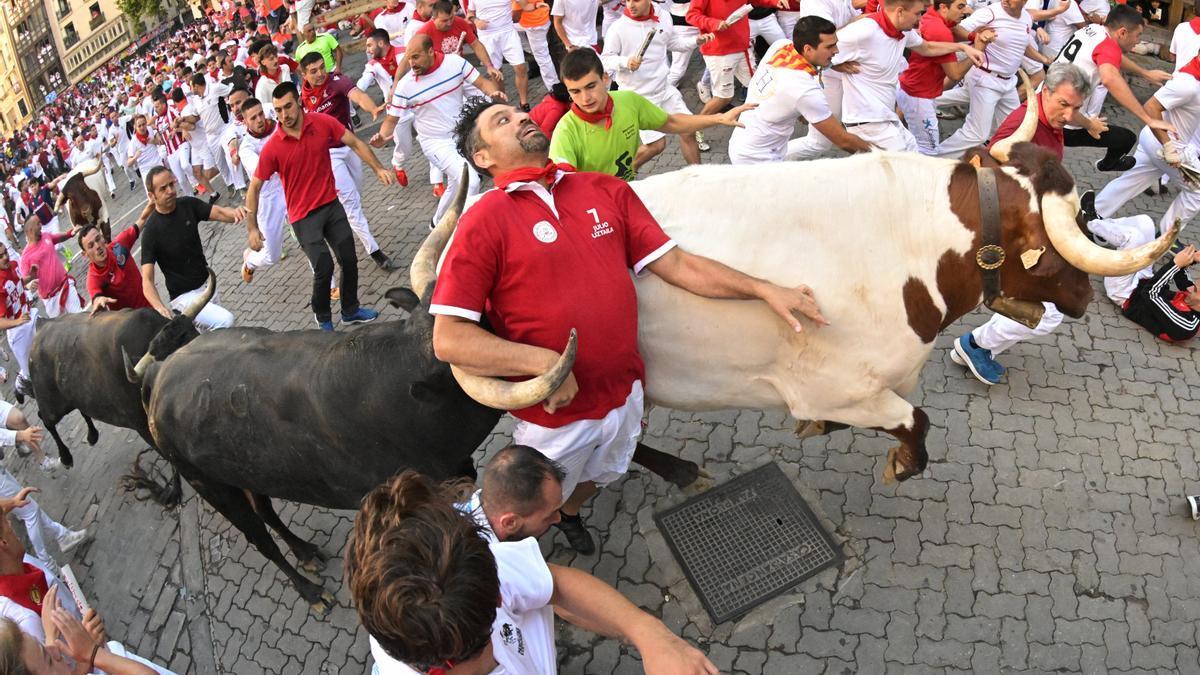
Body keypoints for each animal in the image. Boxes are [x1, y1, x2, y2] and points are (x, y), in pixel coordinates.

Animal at [139, 285, 700, 612]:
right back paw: (310, 590)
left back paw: (307, 552)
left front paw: (681, 468)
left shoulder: (459, 463)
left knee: (267, 509)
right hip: (209, 484)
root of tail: (158, 378)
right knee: (257, 535)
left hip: (249, 470)